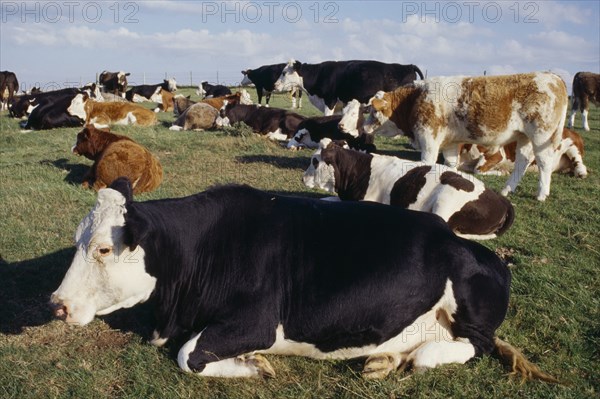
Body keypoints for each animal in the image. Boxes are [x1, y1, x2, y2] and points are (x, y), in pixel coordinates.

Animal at [49, 179, 556, 384]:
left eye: (104, 249)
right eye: (76, 239)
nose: (57, 304)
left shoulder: (257, 322)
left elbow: (187, 355)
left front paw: (256, 366)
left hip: (469, 306)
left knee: (473, 345)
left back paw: (417, 357)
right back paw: (383, 360)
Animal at [366, 72, 568, 202]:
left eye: (373, 112)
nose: (364, 128)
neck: (415, 99)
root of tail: (553, 76)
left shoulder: (428, 138)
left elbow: (427, 163)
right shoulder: (450, 143)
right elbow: (450, 165)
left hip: (541, 135)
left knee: (544, 162)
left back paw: (541, 194)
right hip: (524, 137)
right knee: (522, 161)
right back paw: (506, 190)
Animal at [458, 128, 588, 178]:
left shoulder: (496, 154)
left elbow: (477, 169)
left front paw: (502, 172)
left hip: (572, 146)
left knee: (580, 163)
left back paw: (581, 173)